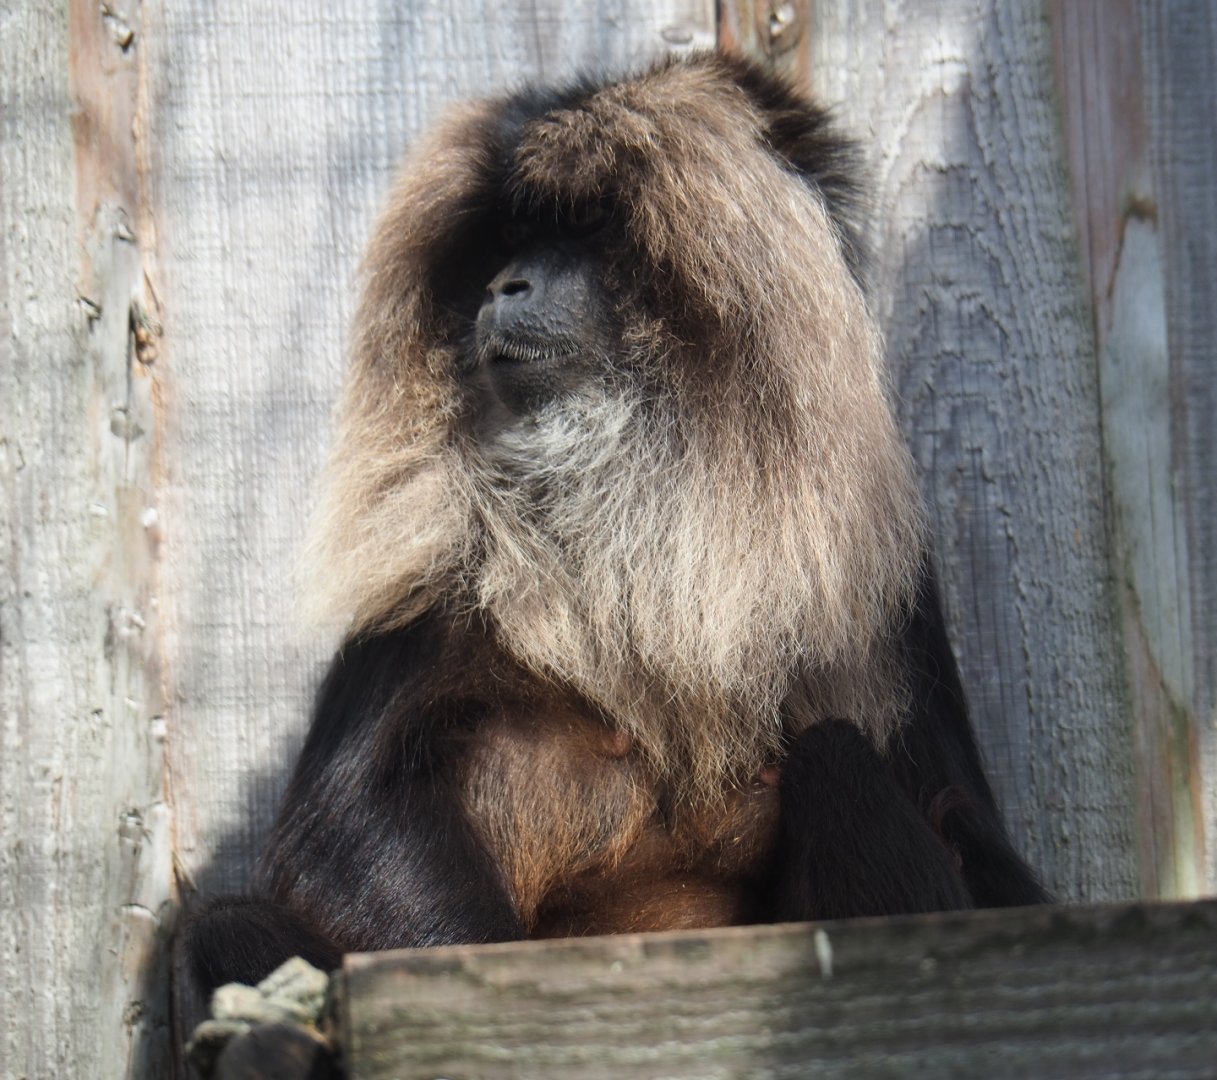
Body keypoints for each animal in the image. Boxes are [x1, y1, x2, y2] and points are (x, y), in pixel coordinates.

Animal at [185, 52, 1049, 993]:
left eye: (587, 229)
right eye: (507, 239)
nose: (505, 285)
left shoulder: (887, 578)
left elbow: (987, 858)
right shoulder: (431, 566)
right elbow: (345, 825)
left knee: (837, 756)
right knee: (229, 924)